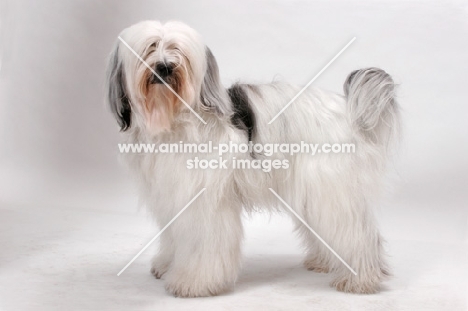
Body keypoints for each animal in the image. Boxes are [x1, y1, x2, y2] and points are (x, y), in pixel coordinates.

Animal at [106, 20, 398, 298]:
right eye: (151, 47)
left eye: (177, 50)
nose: (165, 66)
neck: (175, 117)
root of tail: (349, 110)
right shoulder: (171, 196)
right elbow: (173, 236)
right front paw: (167, 265)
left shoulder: (203, 201)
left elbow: (202, 243)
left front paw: (193, 283)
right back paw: (326, 262)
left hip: (330, 189)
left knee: (357, 234)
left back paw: (359, 279)